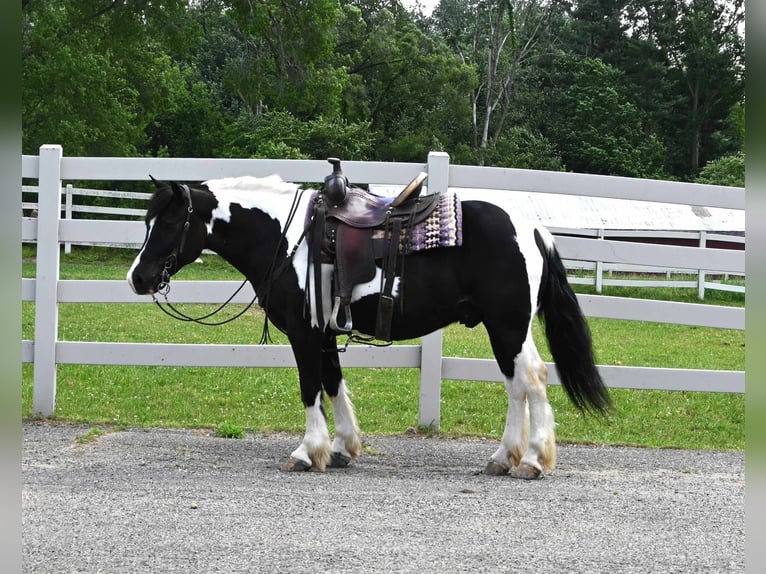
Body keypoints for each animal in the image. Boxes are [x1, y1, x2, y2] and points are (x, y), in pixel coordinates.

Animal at [127, 172, 611, 479]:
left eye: (170, 221)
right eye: (147, 221)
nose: (138, 277)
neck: (287, 239)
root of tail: (533, 229)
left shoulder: (304, 334)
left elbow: (310, 387)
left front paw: (307, 452)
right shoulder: (324, 333)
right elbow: (333, 382)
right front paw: (342, 448)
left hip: (506, 326)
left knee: (531, 379)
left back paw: (531, 461)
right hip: (506, 329)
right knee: (518, 384)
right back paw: (505, 457)